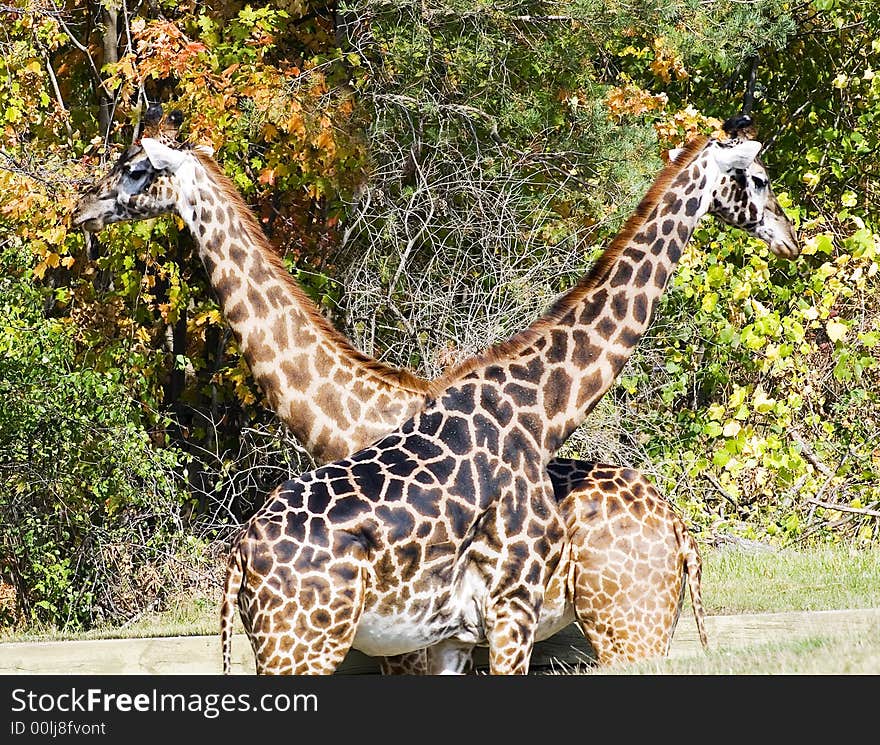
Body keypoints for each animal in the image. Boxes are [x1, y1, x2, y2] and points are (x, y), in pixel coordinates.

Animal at [72, 110, 800, 676]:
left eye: (133, 169)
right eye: (761, 180)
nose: (82, 205)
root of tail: (678, 526)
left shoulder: (463, 630)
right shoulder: (470, 627)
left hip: (624, 624)